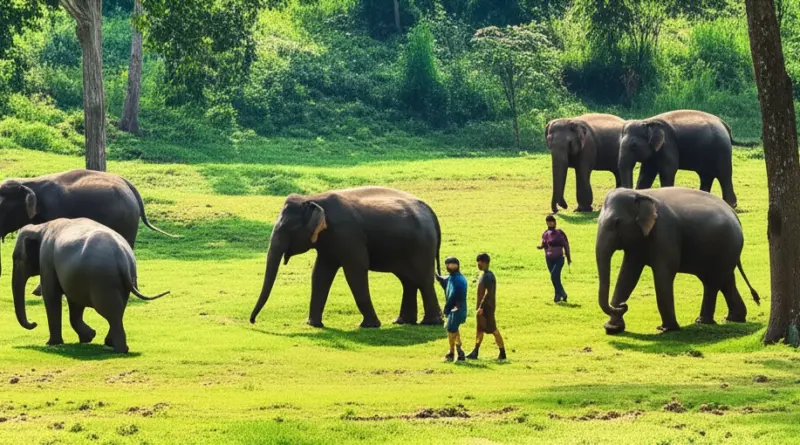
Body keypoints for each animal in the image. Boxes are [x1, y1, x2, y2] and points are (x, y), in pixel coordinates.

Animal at [0, 169, 178, 293]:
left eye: (2, 206)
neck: (28, 183)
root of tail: (128, 185)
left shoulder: (54, 211)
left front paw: (39, 291)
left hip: (127, 220)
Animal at [11, 218, 169, 353]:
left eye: (16, 258)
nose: (34, 323)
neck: (41, 227)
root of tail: (122, 257)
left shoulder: (47, 259)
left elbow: (51, 295)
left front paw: (52, 343)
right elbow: (74, 303)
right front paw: (88, 337)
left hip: (103, 281)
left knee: (110, 311)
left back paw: (119, 349)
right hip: (124, 280)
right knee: (118, 309)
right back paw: (110, 343)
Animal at [250, 186, 444, 328]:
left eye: (286, 229)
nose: (252, 321)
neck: (313, 198)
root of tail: (432, 212)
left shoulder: (348, 234)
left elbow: (355, 270)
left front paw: (369, 325)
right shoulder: (328, 243)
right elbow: (320, 273)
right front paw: (314, 325)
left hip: (422, 246)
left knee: (423, 279)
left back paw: (430, 323)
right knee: (408, 280)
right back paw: (402, 322)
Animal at [595, 187, 760, 335]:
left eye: (616, 223)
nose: (622, 305)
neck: (641, 193)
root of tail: (735, 215)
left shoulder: (665, 233)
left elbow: (663, 274)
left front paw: (666, 329)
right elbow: (627, 274)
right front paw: (613, 328)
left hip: (727, 246)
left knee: (713, 283)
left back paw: (703, 321)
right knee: (724, 279)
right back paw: (733, 318)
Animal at [617, 110, 756, 208]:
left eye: (633, 145)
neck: (648, 121)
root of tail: (725, 126)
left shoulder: (669, 145)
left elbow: (668, 171)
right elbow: (646, 174)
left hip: (722, 150)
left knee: (724, 175)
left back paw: (731, 204)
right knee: (706, 176)